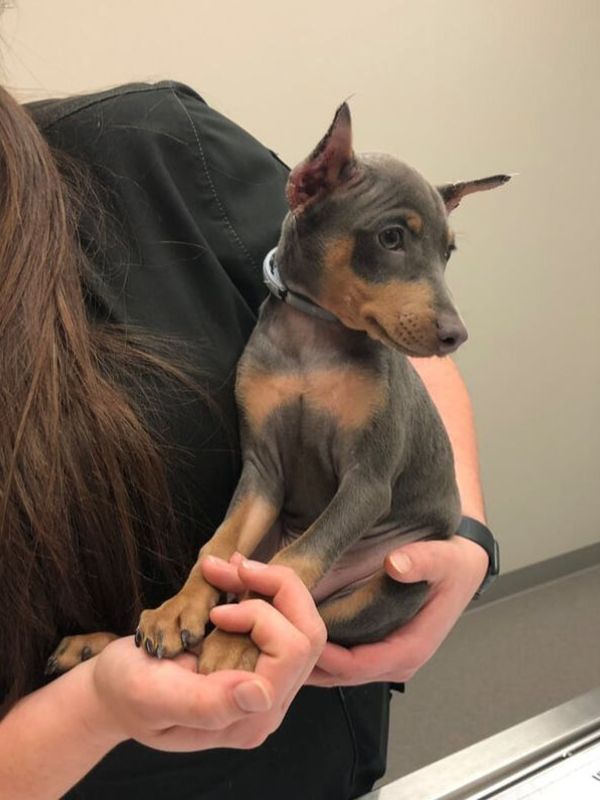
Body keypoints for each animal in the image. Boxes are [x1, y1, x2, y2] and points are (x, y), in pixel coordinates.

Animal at [45, 104, 510, 676]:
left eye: (448, 254)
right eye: (391, 238)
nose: (455, 335)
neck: (313, 339)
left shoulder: (368, 482)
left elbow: (295, 562)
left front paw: (232, 636)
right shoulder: (262, 470)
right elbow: (216, 549)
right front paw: (179, 610)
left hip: (390, 587)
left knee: (320, 619)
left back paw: (231, 637)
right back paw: (91, 642)